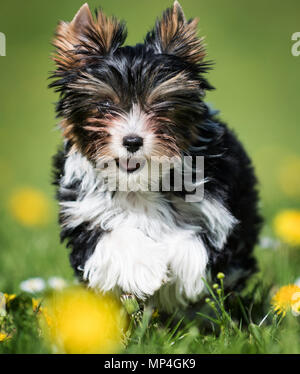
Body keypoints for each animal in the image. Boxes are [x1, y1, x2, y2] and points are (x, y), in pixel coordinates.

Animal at [50, 2, 262, 312]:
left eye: (160, 105)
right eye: (105, 104)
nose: (132, 141)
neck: (140, 183)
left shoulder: (218, 213)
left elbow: (190, 242)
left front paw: (168, 257)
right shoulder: (83, 214)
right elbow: (111, 236)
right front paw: (143, 268)